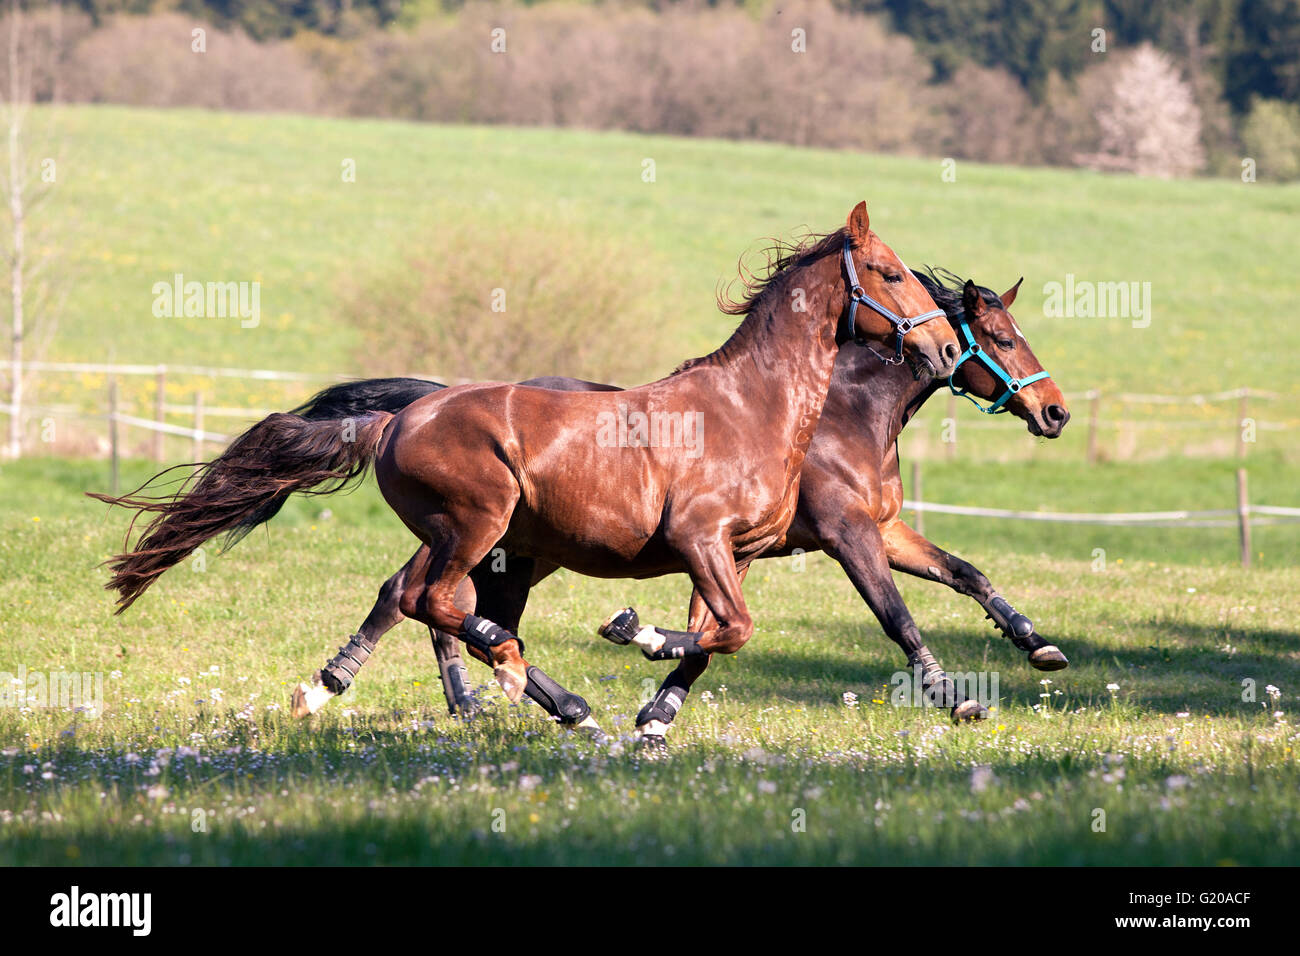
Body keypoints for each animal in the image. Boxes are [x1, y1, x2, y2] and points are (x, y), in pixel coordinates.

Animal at [90, 201, 962, 716]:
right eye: (889, 272)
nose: (949, 348)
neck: (754, 408)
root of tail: (400, 416)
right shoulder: (703, 541)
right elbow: (738, 629)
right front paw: (631, 631)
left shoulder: (739, 551)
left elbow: (720, 633)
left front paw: (650, 687)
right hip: (480, 523)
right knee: (433, 602)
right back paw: (516, 679)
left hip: (499, 544)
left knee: (423, 600)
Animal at [280, 264, 1068, 733]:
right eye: (1001, 338)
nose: (1055, 411)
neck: (837, 414)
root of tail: (427, 405)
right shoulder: (844, 534)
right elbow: (894, 614)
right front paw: (954, 697)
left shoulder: (871, 531)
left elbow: (967, 573)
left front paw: (1039, 644)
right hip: (500, 538)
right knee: (423, 599)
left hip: (518, 548)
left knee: (427, 600)